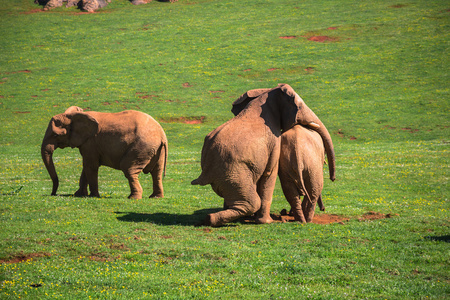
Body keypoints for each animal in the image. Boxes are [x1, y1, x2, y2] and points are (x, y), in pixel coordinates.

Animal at [192, 83, 336, 226]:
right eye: (300, 107)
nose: (333, 179)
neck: (266, 95)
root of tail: (205, 173)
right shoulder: (274, 141)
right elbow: (269, 172)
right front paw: (266, 222)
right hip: (233, 172)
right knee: (252, 202)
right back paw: (212, 218)